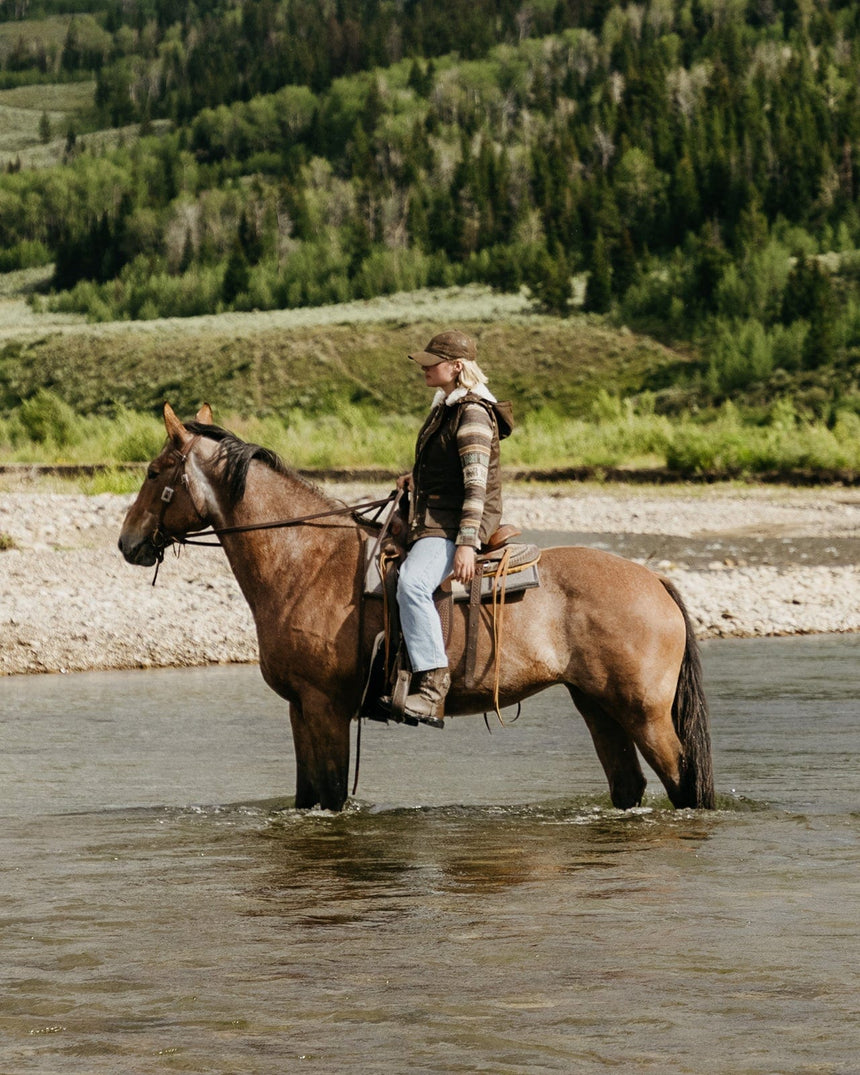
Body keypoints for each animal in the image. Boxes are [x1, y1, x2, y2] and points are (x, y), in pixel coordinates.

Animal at [117, 404, 713, 812]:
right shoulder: (301, 708)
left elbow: (330, 794)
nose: (127, 542)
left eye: (154, 471)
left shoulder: (326, 707)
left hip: (645, 714)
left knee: (683, 783)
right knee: (628, 784)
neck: (306, 560)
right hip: (599, 707)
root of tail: (655, 580)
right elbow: (308, 794)